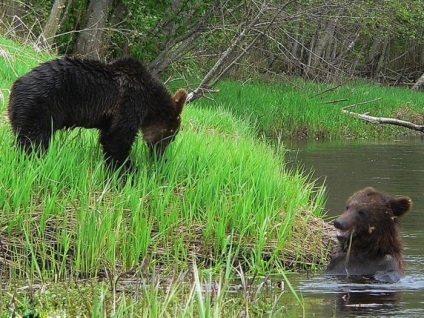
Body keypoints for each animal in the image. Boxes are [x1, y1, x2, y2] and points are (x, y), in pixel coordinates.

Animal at [7, 57, 187, 171]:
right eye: (172, 136)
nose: (161, 157)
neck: (150, 102)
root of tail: (15, 85)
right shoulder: (130, 102)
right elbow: (117, 140)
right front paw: (128, 171)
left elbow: (110, 137)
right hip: (39, 107)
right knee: (33, 142)